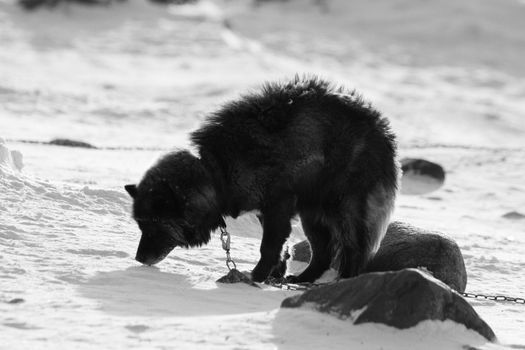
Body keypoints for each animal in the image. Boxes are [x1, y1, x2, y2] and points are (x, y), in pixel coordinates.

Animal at [125, 76, 400, 282]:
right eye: (140, 225)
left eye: (154, 224)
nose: (138, 258)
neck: (217, 172)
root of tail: (382, 130)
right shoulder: (266, 212)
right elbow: (281, 249)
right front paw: (272, 276)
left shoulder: (278, 207)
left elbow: (268, 247)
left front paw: (255, 278)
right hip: (312, 214)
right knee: (322, 253)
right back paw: (302, 280)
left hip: (345, 209)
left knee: (353, 250)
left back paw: (341, 282)